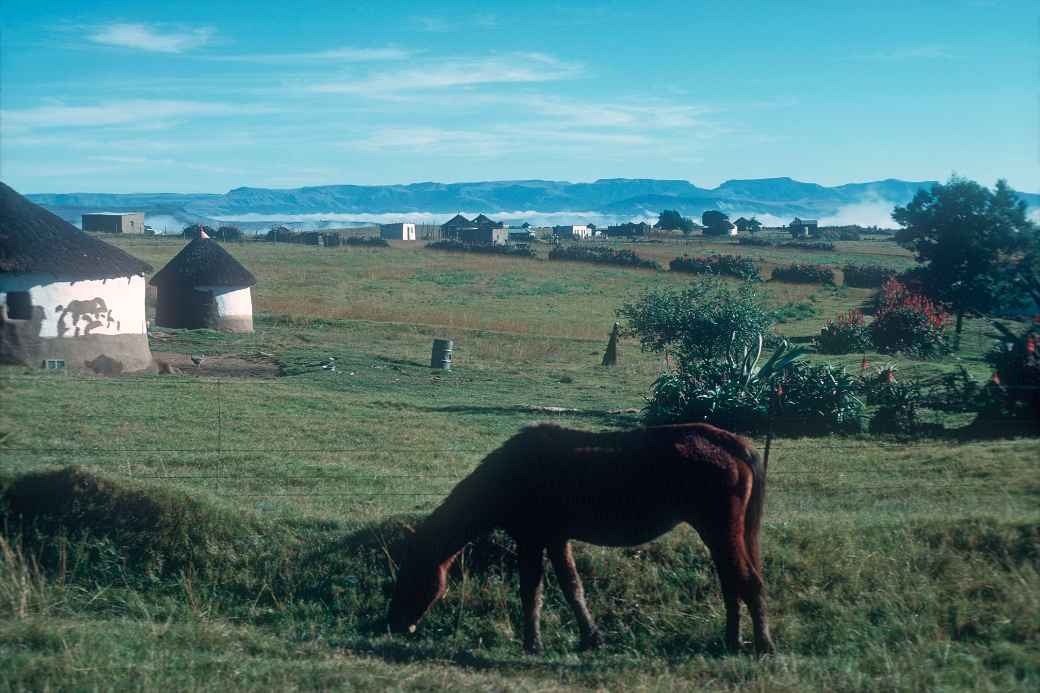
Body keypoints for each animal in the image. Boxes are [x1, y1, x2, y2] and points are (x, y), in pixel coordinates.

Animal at [386, 420, 777, 653]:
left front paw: (532, 644)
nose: (392, 624)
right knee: (732, 585)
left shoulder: (531, 539)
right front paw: (590, 637)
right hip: (723, 536)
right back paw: (733, 641)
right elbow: (572, 588)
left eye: (410, 574)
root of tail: (730, 443)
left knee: (747, 583)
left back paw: (764, 646)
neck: (510, 473)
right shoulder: (556, 539)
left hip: (719, 532)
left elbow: (531, 592)